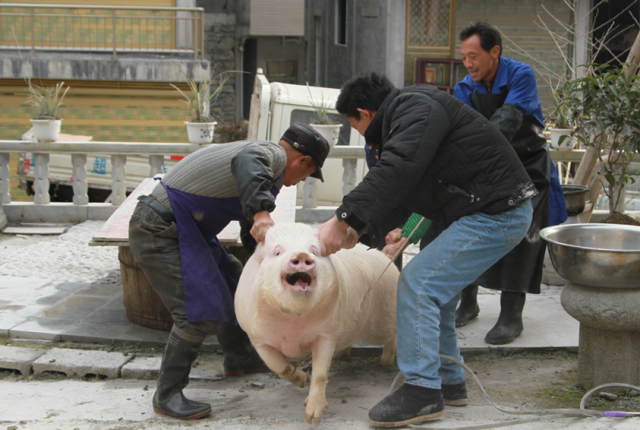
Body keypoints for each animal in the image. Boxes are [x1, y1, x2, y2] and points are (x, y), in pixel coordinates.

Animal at [232, 223, 398, 424]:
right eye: (277, 252)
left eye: (314, 251)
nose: (302, 255)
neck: (294, 323)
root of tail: (385, 257)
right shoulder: (257, 337)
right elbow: (277, 365)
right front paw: (302, 379)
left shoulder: (326, 333)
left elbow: (320, 374)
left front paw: (312, 418)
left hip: (384, 318)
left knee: (396, 333)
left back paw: (386, 362)